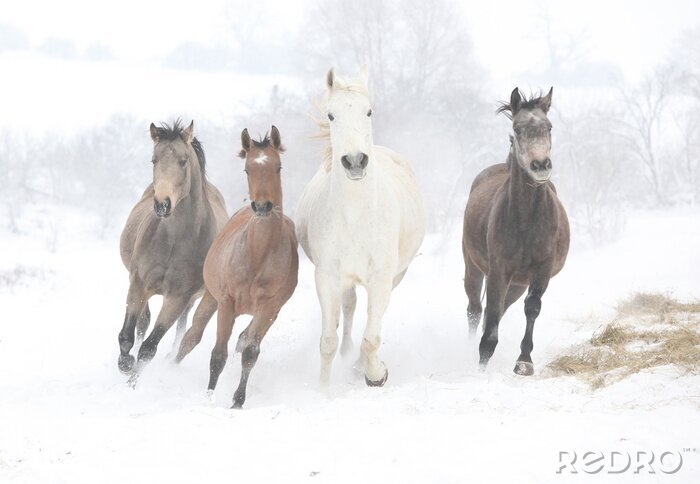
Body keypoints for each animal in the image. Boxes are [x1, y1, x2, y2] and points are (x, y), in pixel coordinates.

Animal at [118, 120, 228, 384]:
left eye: (183, 161)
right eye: (154, 160)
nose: (162, 204)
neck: (174, 241)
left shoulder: (179, 296)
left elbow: (150, 347)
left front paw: (132, 381)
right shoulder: (138, 282)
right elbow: (127, 336)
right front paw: (125, 364)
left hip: (197, 298)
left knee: (184, 329)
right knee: (143, 321)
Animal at [175, 126, 298, 408]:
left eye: (278, 166)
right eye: (247, 169)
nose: (262, 206)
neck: (256, 256)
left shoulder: (268, 308)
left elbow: (251, 351)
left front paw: (237, 401)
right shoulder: (226, 302)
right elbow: (218, 354)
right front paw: (209, 396)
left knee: (245, 338)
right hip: (210, 298)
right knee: (191, 336)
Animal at [296, 68, 426, 387]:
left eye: (369, 112)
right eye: (331, 115)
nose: (355, 161)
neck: (355, 217)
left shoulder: (381, 279)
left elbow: (371, 338)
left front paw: (376, 374)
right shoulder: (327, 278)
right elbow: (328, 342)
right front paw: (322, 391)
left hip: (395, 277)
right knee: (349, 307)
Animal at [462, 87, 570, 375]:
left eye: (549, 127)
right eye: (518, 129)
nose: (541, 165)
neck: (527, 222)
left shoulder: (542, 270)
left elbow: (531, 308)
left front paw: (524, 361)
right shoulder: (498, 269)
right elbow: (490, 315)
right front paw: (482, 363)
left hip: (517, 284)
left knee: (500, 308)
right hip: (474, 267)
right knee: (475, 309)